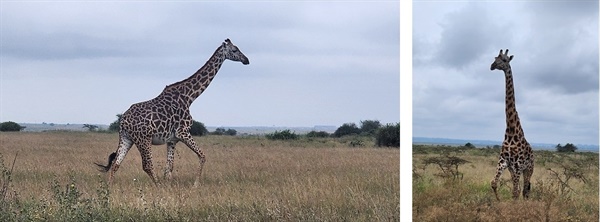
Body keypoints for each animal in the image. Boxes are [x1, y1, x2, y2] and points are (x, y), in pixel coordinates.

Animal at [95, 38, 248, 186]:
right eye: (235, 50)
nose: (246, 60)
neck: (189, 97)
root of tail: (123, 121)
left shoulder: (172, 139)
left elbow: (169, 167)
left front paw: (170, 185)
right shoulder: (183, 132)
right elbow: (202, 156)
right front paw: (195, 185)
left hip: (127, 138)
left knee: (116, 163)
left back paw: (109, 188)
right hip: (143, 139)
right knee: (147, 165)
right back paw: (158, 187)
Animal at [488, 49, 536, 200]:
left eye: (504, 60)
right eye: (495, 58)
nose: (492, 66)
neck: (510, 129)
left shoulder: (518, 165)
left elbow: (516, 192)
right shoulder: (504, 161)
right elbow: (494, 183)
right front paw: (498, 201)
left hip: (529, 169)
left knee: (525, 190)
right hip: (512, 169)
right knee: (521, 188)